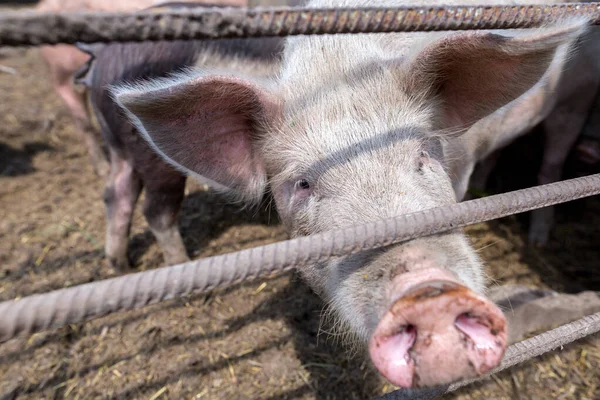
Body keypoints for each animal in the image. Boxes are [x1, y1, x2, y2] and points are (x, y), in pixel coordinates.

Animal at [72, 1, 288, 270]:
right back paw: (180, 262)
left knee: (116, 192)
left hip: (117, 144)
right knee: (155, 211)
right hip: (154, 153)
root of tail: (103, 55)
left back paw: (122, 266)